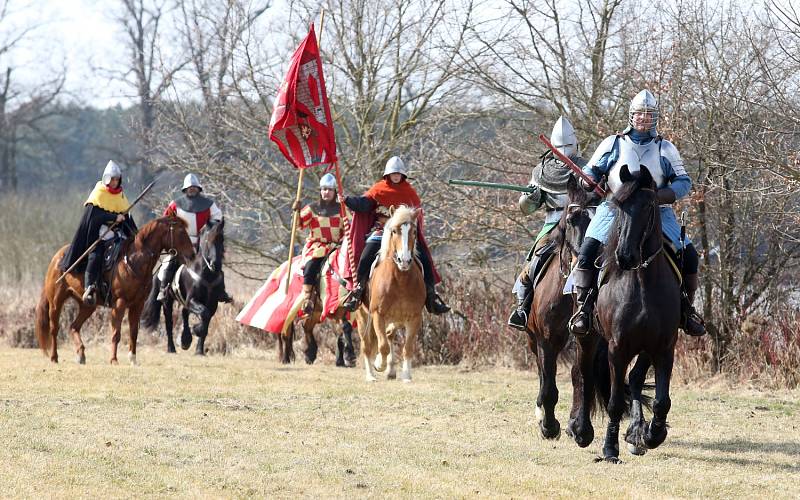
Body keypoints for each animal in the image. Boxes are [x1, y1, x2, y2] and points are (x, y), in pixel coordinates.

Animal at [35, 217, 195, 366]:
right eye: (181, 231)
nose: (192, 255)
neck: (134, 260)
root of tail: (57, 257)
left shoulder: (138, 305)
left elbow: (133, 332)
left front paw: (133, 359)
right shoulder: (120, 303)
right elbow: (116, 333)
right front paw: (113, 360)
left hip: (87, 305)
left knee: (74, 326)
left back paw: (81, 355)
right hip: (56, 302)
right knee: (54, 329)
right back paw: (54, 357)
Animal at [140, 219, 225, 356]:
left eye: (221, 238)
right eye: (208, 239)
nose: (215, 264)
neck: (207, 274)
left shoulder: (212, 304)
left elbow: (206, 321)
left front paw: (199, 350)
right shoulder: (192, 300)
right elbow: (204, 314)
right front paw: (196, 330)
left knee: (184, 313)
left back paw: (185, 339)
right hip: (167, 302)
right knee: (169, 324)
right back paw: (171, 348)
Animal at [352, 205, 422, 380]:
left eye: (414, 232)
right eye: (394, 231)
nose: (404, 261)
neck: (400, 279)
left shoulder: (415, 317)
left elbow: (407, 347)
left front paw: (407, 376)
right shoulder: (378, 314)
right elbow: (382, 346)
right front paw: (379, 364)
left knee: (389, 335)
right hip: (363, 317)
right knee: (367, 344)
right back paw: (371, 375)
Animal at [524, 174, 592, 440]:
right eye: (572, 219)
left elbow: (579, 377)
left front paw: (577, 426)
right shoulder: (546, 339)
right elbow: (549, 385)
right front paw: (549, 426)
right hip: (533, 339)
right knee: (542, 374)